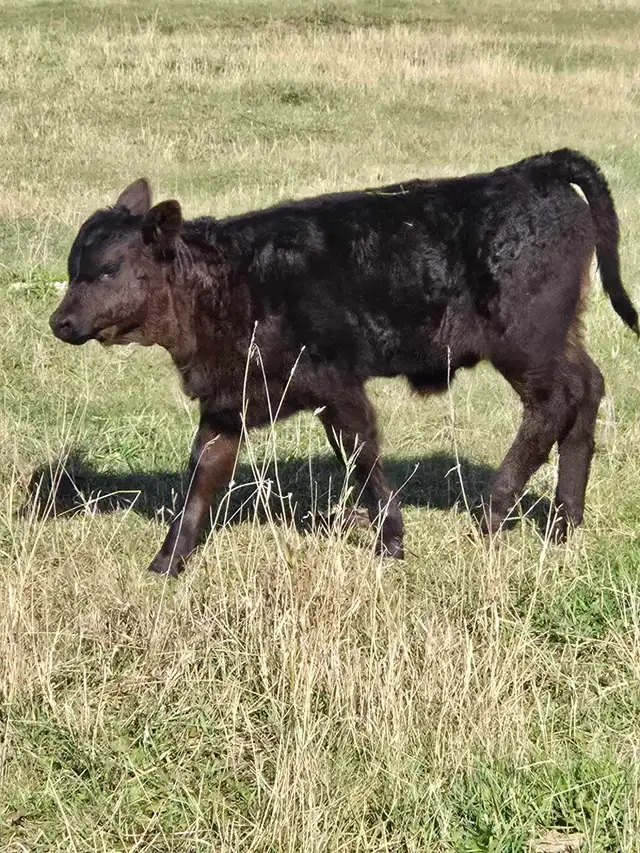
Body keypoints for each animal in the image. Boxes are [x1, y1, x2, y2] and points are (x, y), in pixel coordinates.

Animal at [49, 149, 638, 575]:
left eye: (108, 269)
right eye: (75, 267)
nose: (60, 322)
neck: (231, 281)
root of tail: (529, 170)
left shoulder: (335, 385)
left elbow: (360, 453)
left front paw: (391, 541)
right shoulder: (228, 399)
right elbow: (202, 476)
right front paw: (166, 563)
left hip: (526, 343)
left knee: (555, 402)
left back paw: (494, 508)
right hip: (559, 338)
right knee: (587, 390)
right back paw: (564, 521)